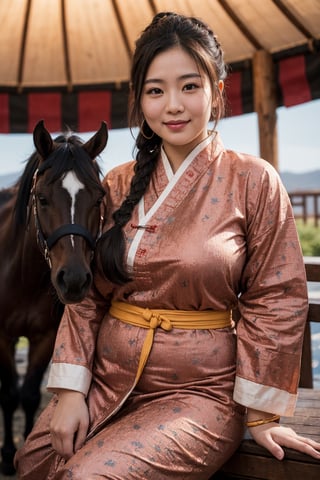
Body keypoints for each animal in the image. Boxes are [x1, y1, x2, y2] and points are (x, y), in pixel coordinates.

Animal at [0, 120, 109, 472]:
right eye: (42, 198)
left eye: (99, 198)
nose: (73, 279)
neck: (23, 276)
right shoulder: (2, 337)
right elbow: (9, 395)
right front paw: (8, 456)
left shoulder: (45, 337)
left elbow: (30, 395)